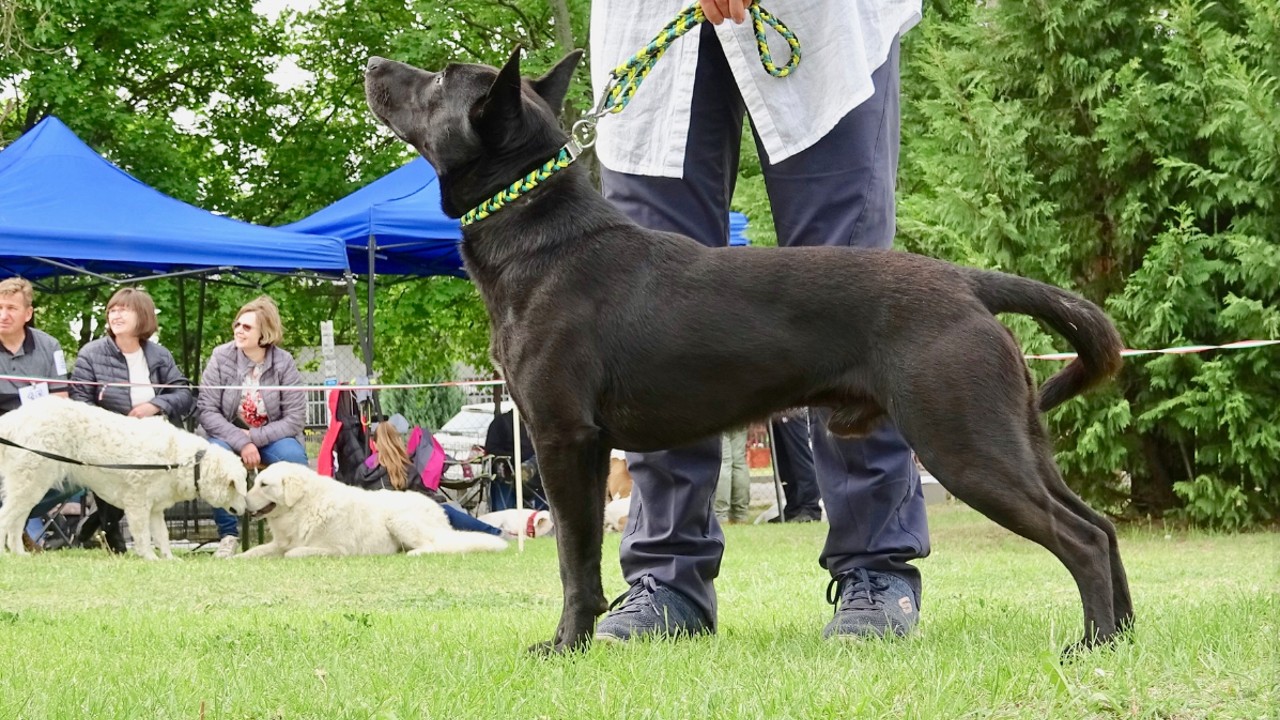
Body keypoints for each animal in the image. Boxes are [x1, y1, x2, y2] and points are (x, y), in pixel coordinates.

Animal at [0, 392, 248, 556]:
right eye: (239, 488)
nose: (248, 510)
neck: (186, 461)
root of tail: (15, 418)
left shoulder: (155, 509)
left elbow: (162, 536)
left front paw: (168, 559)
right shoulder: (137, 503)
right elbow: (143, 536)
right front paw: (149, 558)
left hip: (31, 488)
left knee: (16, 522)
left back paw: (21, 554)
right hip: (31, 482)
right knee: (6, 518)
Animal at [240, 458, 509, 556]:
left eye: (264, 484)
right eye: (257, 481)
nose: (242, 502)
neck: (302, 509)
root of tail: (438, 508)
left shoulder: (335, 550)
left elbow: (292, 553)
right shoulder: (279, 543)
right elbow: (255, 551)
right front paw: (236, 558)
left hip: (398, 521)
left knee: (433, 547)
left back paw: (414, 553)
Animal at [366, 49, 1136, 650]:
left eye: (441, 78)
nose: (372, 65)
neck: (540, 235)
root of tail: (967, 282)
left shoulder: (563, 440)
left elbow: (575, 564)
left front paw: (566, 646)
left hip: (964, 443)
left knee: (1080, 538)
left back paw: (1091, 643)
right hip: (1013, 439)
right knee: (1100, 525)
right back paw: (1119, 638)